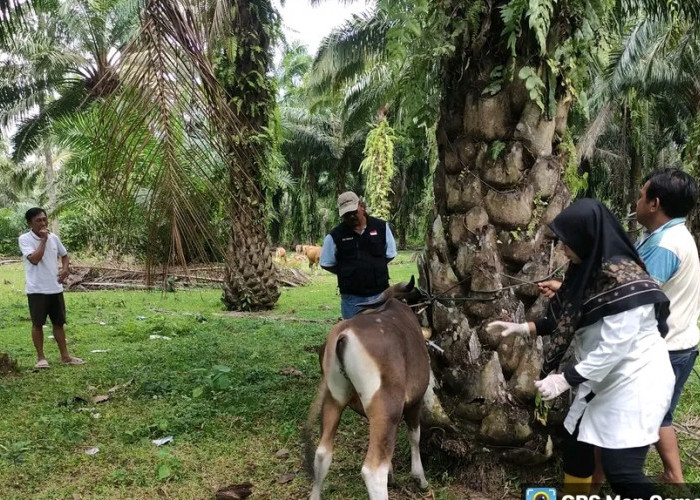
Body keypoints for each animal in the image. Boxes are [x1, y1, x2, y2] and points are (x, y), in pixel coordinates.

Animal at [308, 278, 432, 500]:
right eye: (418, 294)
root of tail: (342, 335)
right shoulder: (415, 401)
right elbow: (415, 436)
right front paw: (420, 479)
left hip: (333, 398)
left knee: (322, 453)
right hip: (387, 407)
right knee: (373, 471)